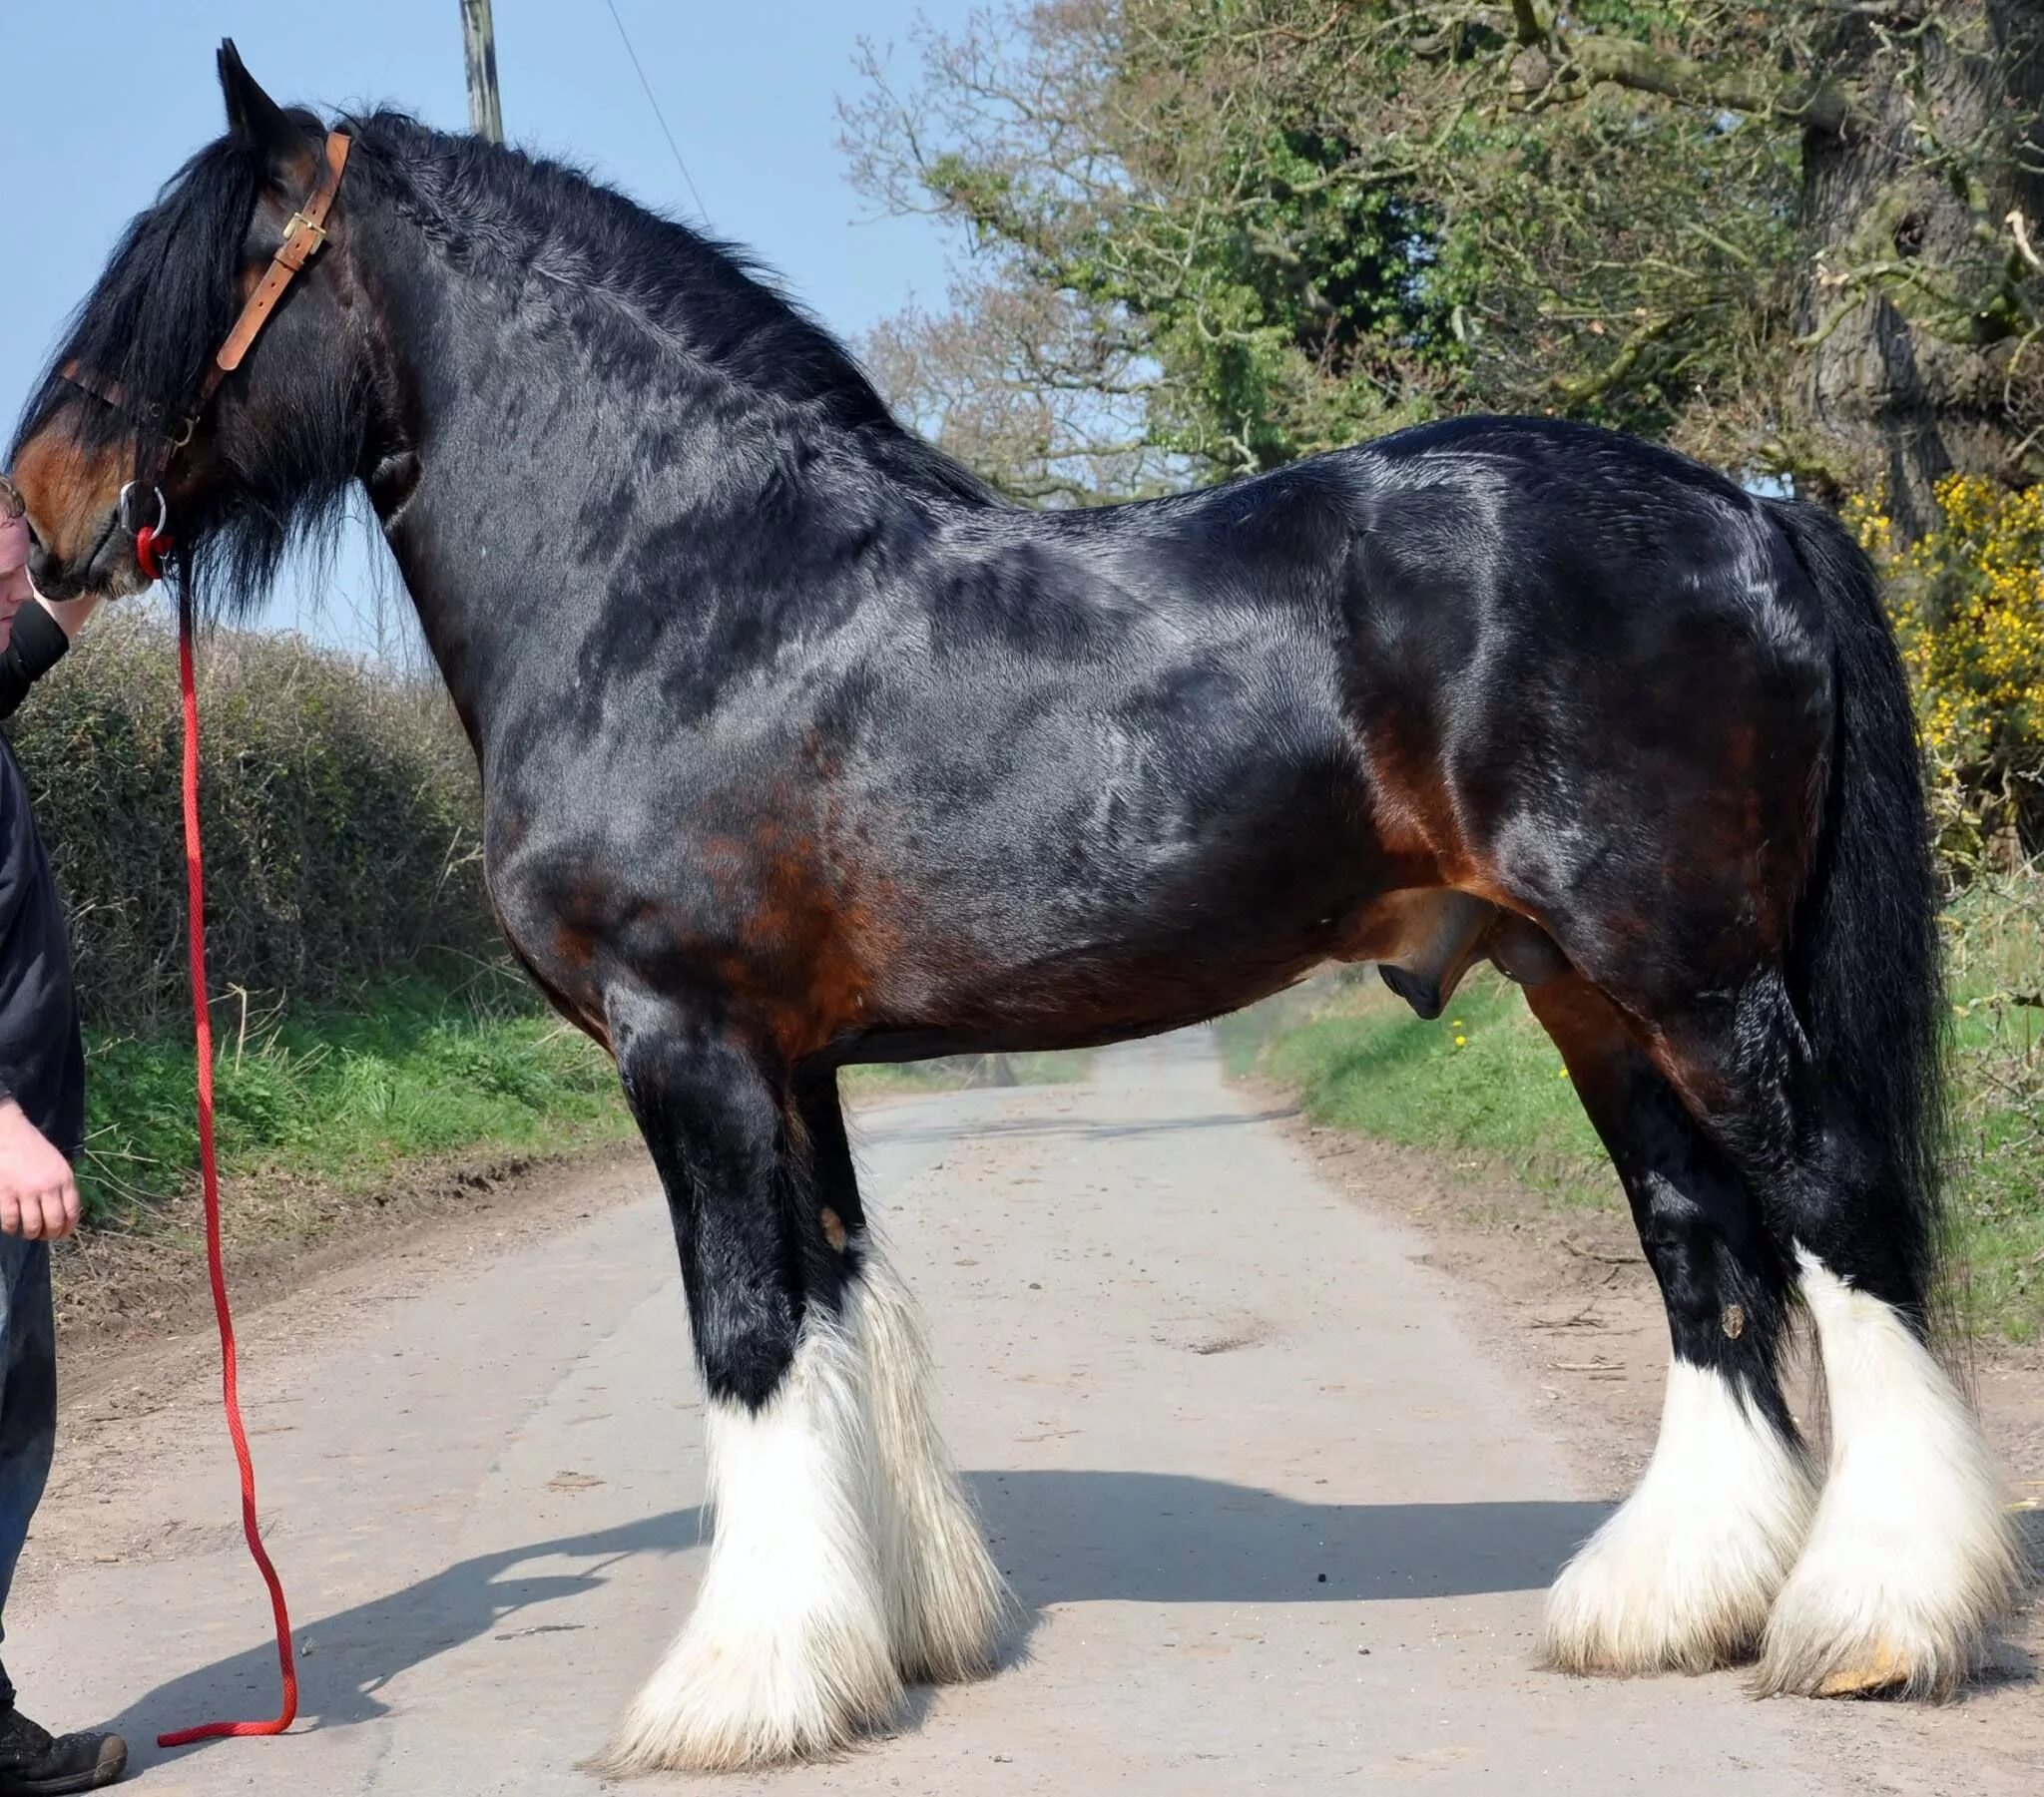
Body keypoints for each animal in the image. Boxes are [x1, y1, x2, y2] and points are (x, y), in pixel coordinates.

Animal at [8, 49, 2019, 1774]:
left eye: (198, 278)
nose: (41, 524)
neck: (683, 586)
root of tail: (1747, 510)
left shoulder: (688, 1042)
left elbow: (747, 1336)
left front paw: (737, 1691)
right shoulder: (788, 1060)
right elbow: (837, 1315)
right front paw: (886, 1642)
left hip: (1685, 971)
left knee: (1837, 1215)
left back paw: (1875, 1622)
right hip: (1585, 990)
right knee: (1704, 1249)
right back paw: (1665, 1602)